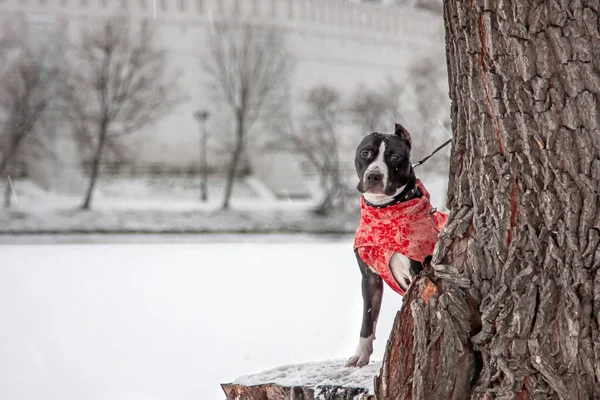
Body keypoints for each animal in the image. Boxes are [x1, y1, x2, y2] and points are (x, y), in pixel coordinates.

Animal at [344, 123, 448, 368]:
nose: (374, 175)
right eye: (366, 153)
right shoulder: (370, 278)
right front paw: (361, 355)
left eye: (394, 157)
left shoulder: (417, 274)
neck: (384, 213)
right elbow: (368, 319)